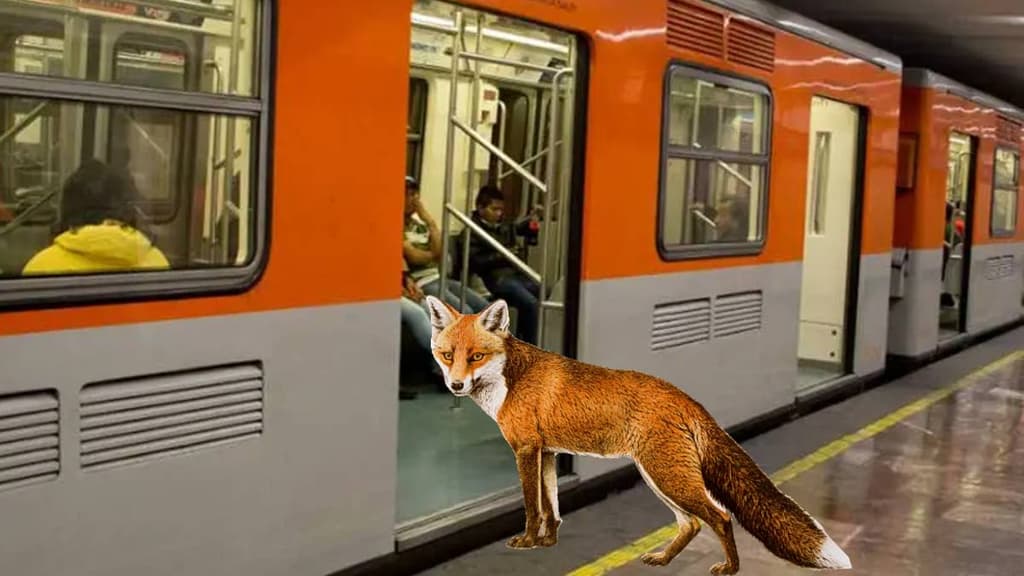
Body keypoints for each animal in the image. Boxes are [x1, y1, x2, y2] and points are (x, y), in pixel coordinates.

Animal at [423, 295, 852, 575]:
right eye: (447, 355)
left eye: (476, 356)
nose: (456, 386)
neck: (510, 379)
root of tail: (686, 397)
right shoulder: (547, 453)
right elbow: (552, 508)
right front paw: (547, 543)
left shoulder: (526, 450)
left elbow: (532, 507)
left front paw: (527, 543)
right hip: (658, 476)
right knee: (692, 524)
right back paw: (663, 560)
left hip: (667, 476)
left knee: (720, 516)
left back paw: (730, 568)